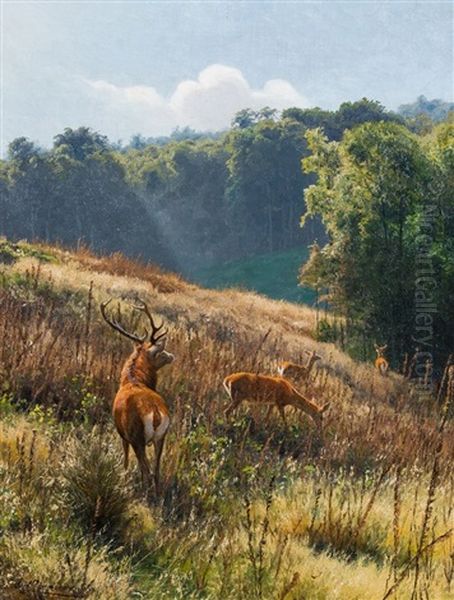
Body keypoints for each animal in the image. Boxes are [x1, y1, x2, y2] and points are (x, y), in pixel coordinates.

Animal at [100, 298, 175, 494]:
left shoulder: (122, 432)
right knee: (156, 473)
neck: (132, 379)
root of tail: (156, 414)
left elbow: (126, 458)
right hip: (161, 437)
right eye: (160, 352)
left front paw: (124, 475)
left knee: (147, 472)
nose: (171, 355)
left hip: (137, 436)